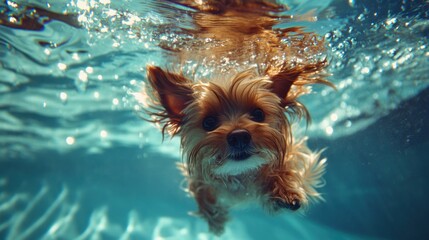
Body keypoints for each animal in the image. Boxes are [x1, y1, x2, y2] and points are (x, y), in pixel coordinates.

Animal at [140, 0, 332, 235]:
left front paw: (286, 190)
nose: (239, 136)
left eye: (258, 114)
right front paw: (216, 220)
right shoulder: (197, 178)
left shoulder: (295, 150)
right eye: (209, 122)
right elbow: (203, 195)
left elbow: (290, 165)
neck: (241, 173)